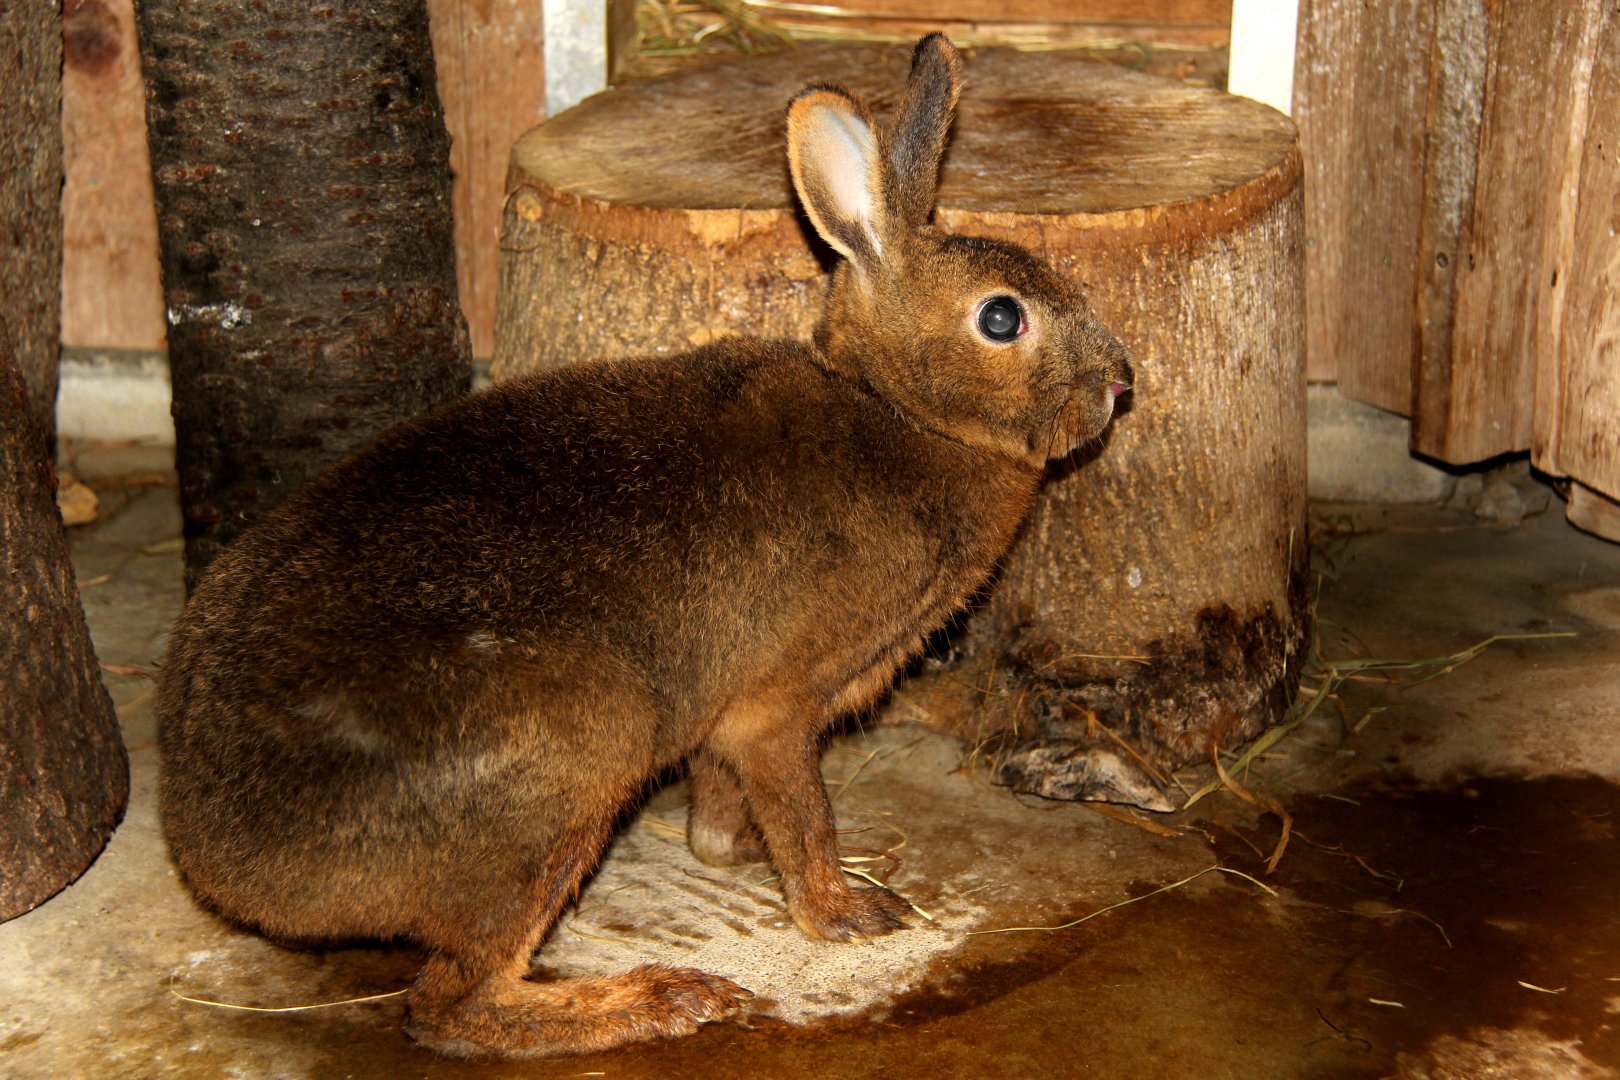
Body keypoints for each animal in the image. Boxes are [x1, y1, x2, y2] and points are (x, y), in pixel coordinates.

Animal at [157, 32, 1133, 1059]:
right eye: (1002, 318)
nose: (1120, 383)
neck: (898, 411)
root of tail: (221, 860)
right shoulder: (775, 708)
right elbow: (802, 812)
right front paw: (848, 912)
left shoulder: (722, 723)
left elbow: (720, 801)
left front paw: (732, 853)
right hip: (576, 762)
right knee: (455, 1003)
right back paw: (656, 1000)